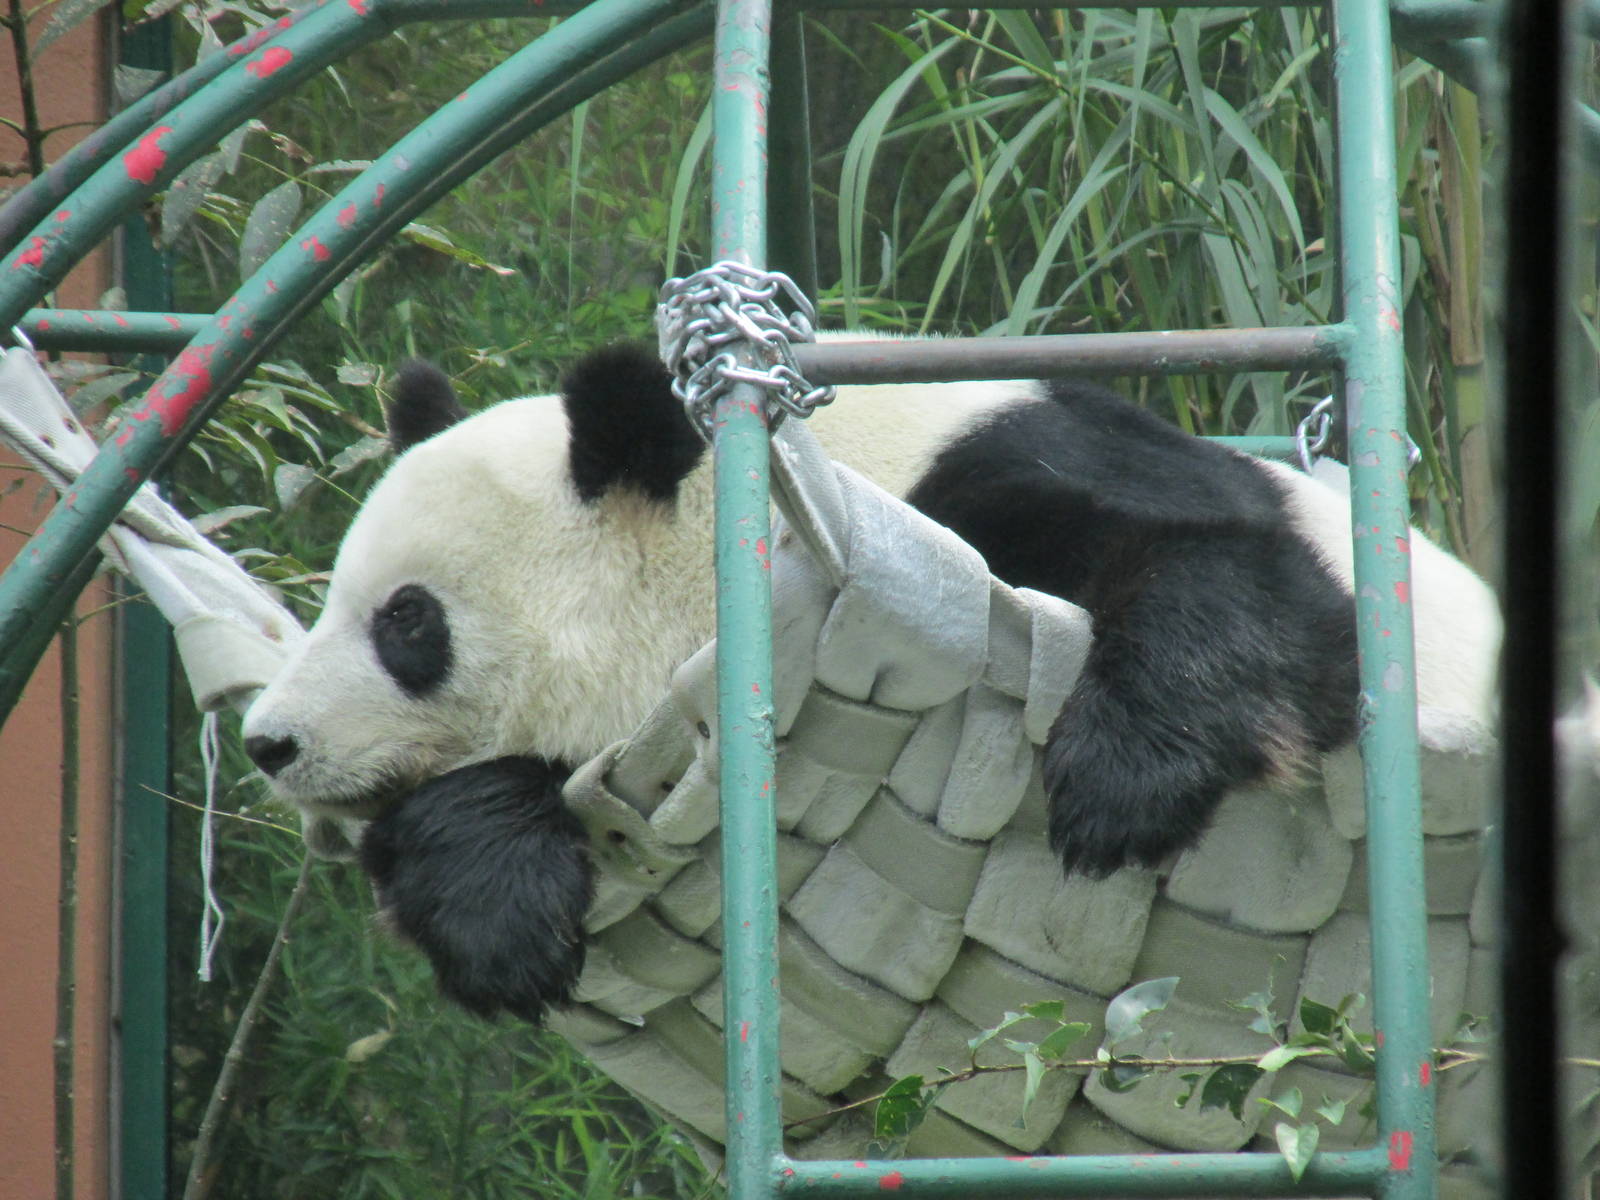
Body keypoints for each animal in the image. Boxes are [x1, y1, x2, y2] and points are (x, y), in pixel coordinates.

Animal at [240, 340, 1500, 1024]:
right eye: (334, 598)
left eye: (406, 621)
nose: (269, 741)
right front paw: (499, 919)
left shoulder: (991, 470)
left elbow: (1257, 583)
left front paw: (1118, 784)